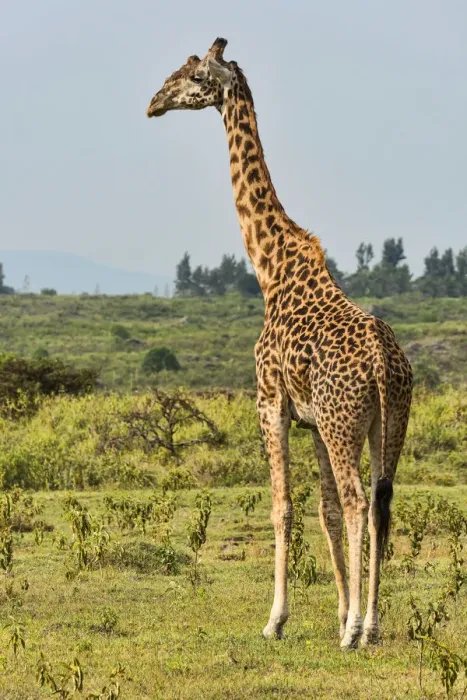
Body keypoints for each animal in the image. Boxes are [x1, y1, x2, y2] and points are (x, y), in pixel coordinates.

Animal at [146, 38, 412, 649]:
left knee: (361, 500)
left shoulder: (270, 403)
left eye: (195, 76)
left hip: (345, 422)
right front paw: (339, 611)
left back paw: (358, 631)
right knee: (379, 500)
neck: (269, 268)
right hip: (388, 420)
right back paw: (372, 625)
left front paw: (278, 619)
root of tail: (384, 363)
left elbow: (284, 507)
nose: (153, 102)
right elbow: (325, 510)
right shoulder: (311, 419)